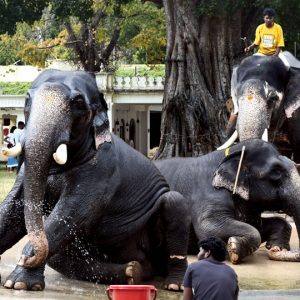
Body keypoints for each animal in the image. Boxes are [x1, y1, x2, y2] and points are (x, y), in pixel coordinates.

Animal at [0, 69, 190, 290]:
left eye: (78, 102)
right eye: (27, 99)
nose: (24, 258)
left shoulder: (102, 170)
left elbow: (73, 213)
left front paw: (18, 284)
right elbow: (12, 209)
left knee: (174, 201)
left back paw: (174, 284)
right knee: (58, 258)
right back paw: (132, 272)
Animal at [155, 139, 300, 264]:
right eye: (276, 172)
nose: (274, 250)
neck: (232, 151)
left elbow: (258, 225)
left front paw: (277, 247)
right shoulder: (208, 192)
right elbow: (208, 227)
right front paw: (233, 247)